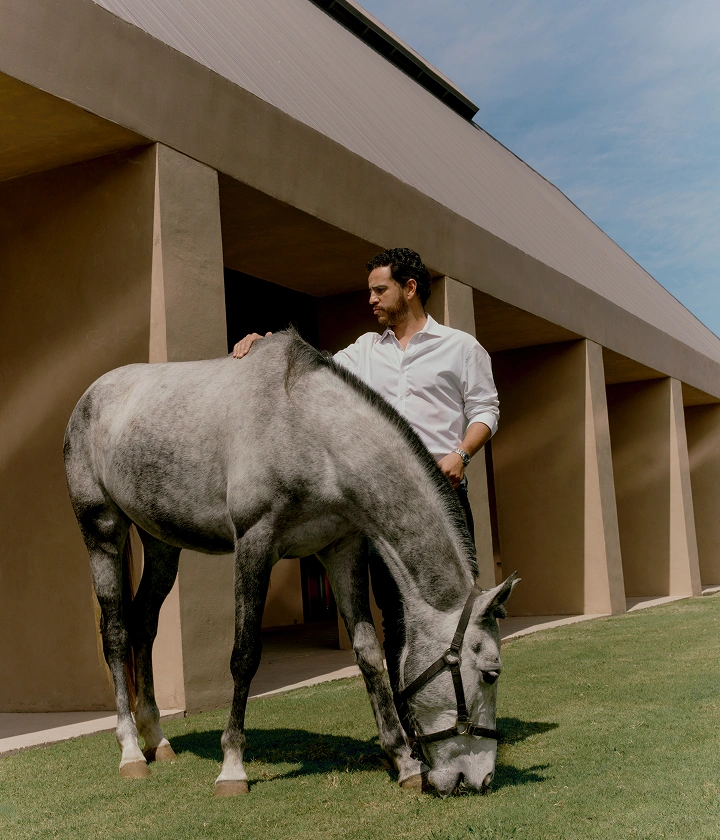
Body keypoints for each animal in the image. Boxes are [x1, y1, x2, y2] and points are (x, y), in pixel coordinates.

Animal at [64, 329, 517, 797]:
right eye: (491, 674)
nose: (479, 779)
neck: (310, 432)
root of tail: (91, 396)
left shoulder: (342, 549)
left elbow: (370, 653)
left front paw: (403, 761)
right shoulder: (255, 544)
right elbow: (244, 655)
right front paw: (232, 766)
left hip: (161, 545)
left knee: (144, 625)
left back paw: (156, 737)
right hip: (102, 529)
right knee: (116, 632)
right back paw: (131, 751)